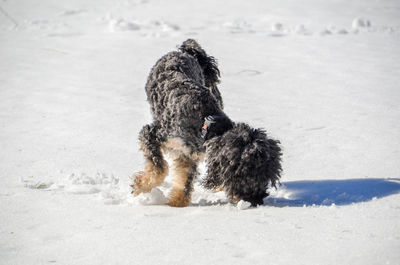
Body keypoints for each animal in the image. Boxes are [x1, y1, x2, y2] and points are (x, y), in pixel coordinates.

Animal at [131, 38, 282, 206]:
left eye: (266, 176)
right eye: (245, 174)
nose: (258, 200)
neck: (205, 122)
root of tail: (186, 52)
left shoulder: (188, 154)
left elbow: (184, 181)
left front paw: (177, 203)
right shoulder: (153, 134)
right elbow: (159, 168)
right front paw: (140, 185)